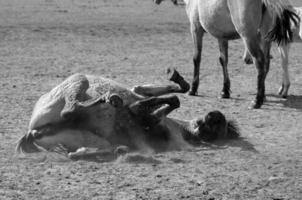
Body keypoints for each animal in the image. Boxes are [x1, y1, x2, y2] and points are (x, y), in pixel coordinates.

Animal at [16, 69, 239, 160]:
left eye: (218, 129)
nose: (213, 115)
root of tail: (34, 131)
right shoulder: (141, 94)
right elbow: (170, 94)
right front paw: (176, 79)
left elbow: (158, 107)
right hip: (78, 80)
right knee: (72, 110)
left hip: (89, 132)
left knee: (70, 114)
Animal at [156, 0, 300, 108]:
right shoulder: (222, 37)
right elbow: (223, 60)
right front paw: (224, 91)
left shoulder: (196, 30)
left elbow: (197, 58)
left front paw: (193, 89)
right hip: (265, 38)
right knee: (266, 63)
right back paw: (262, 96)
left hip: (249, 37)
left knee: (259, 61)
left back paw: (257, 100)